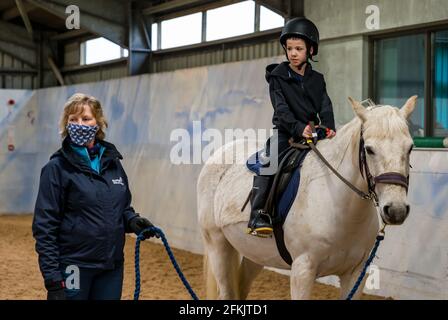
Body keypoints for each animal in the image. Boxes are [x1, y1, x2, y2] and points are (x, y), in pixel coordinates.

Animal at [197, 95, 416, 300]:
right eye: (369, 149)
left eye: (410, 147)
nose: (396, 210)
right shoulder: (303, 271)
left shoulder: (356, 274)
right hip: (218, 245)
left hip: (255, 253)